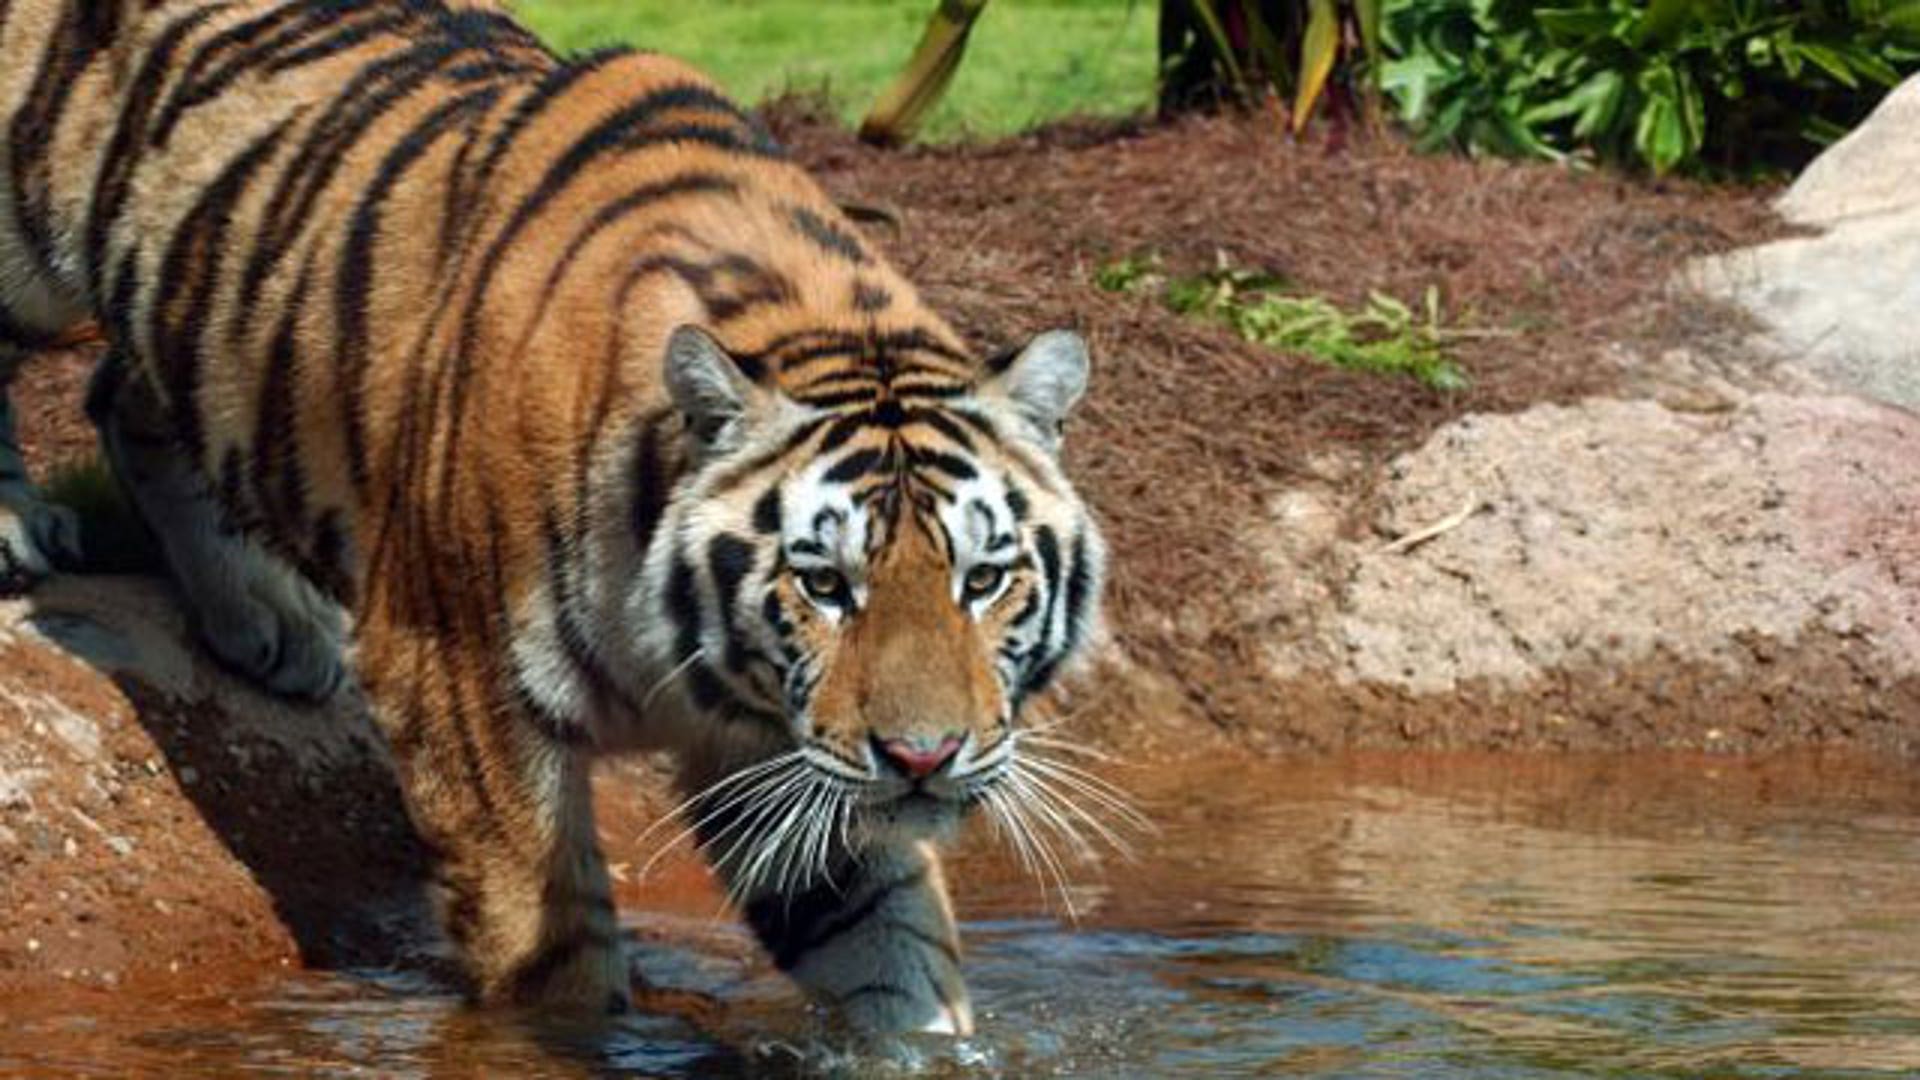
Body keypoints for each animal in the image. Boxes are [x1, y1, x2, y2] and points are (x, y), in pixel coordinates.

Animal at [0, 0, 1111, 1035]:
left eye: (983, 579)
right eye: (826, 585)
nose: (925, 759)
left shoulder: (791, 756)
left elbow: (891, 944)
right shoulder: (458, 690)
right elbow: (556, 958)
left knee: (125, 390)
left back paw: (263, 616)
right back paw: (20, 533)